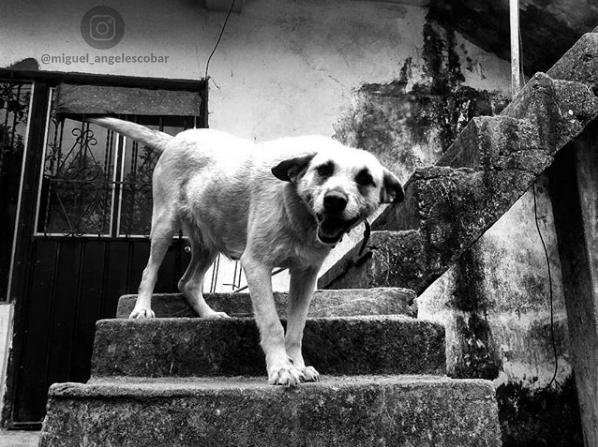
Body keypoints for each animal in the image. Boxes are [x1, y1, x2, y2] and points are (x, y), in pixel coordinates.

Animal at [90, 117, 404, 386]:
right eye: (323, 169)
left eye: (365, 179)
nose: (335, 200)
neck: (299, 212)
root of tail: (178, 137)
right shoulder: (256, 265)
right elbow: (273, 324)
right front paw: (281, 368)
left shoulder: (305, 276)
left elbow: (296, 329)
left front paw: (298, 365)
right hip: (165, 223)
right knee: (150, 270)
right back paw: (142, 309)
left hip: (209, 242)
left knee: (187, 282)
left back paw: (209, 315)